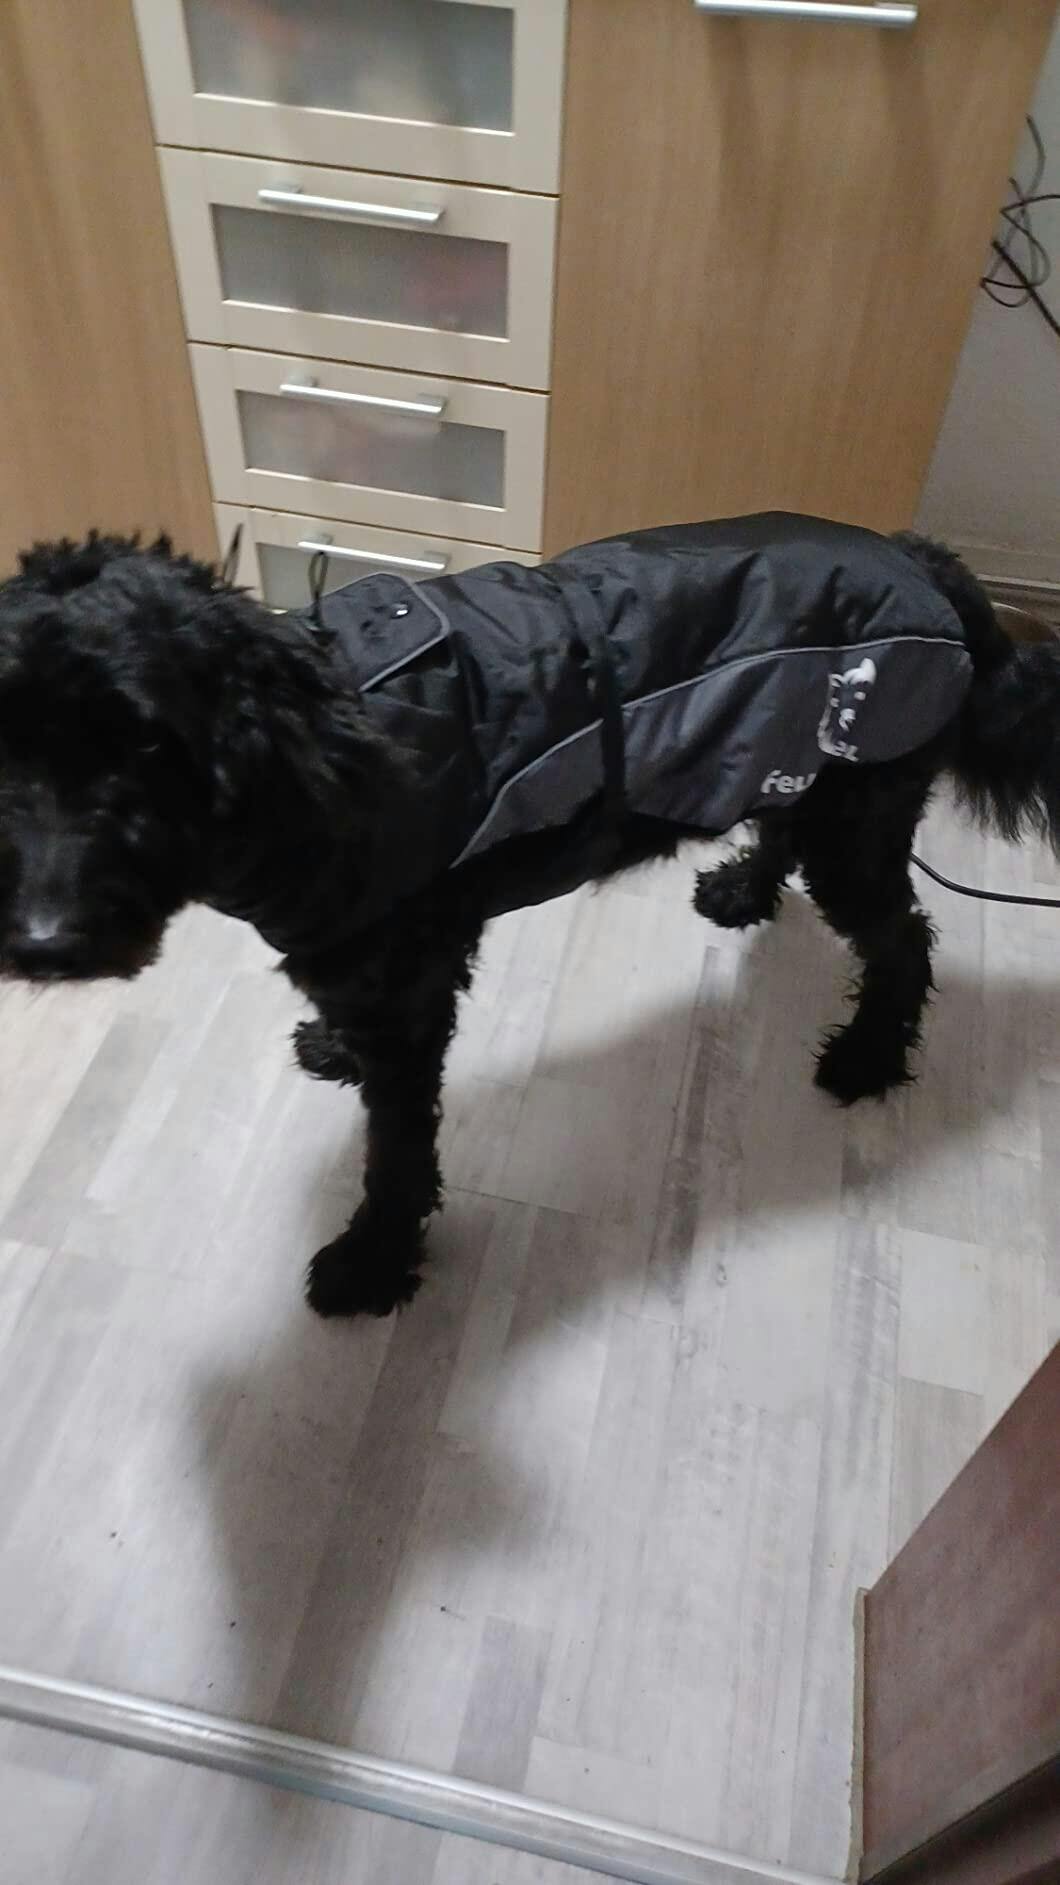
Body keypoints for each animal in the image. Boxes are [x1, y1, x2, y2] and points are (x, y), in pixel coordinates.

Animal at [0, 516, 1055, 1318]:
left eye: (148, 746)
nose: (44, 943)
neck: (303, 757)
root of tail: (927, 560)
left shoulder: (407, 994)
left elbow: (397, 1151)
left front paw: (372, 1263)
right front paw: (336, 1051)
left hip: (859, 816)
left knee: (905, 941)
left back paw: (869, 1057)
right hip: (799, 769)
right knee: (786, 831)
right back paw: (743, 893)